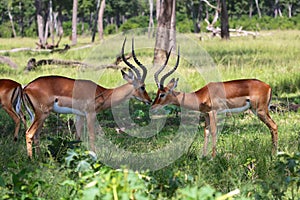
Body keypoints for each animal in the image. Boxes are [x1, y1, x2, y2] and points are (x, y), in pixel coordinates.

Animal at [22, 38, 152, 158]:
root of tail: (27, 87)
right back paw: (31, 159)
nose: (149, 100)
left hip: (38, 115)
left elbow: (77, 136)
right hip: (42, 114)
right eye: (142, 87)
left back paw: (40, 158)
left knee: (37, 135)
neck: (103, 92)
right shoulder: (90, 114)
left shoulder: (79, 115)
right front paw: (94, 156)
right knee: (29, 133)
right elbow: (92, 135)